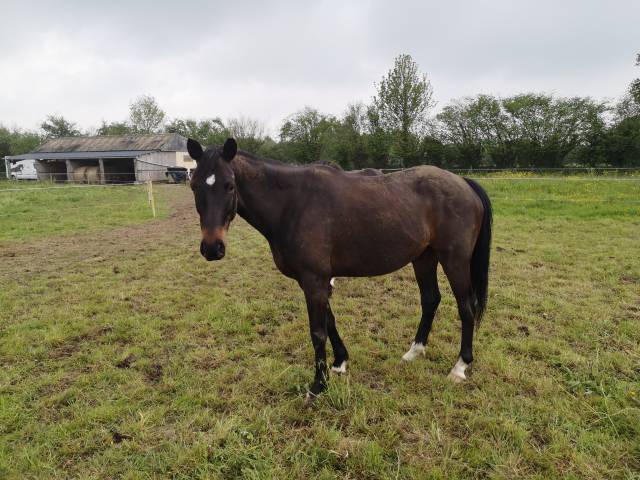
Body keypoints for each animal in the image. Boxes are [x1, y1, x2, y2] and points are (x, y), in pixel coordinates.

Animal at [188, 138, 492, 398]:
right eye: (194, 187)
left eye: (229, 185)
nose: (212, 248)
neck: (292, 203)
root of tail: (462, 182)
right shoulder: (315, 280)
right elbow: (329, 321)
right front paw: (340, 363)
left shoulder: (314, 280)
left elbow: (317, 332)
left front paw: (318, 385)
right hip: (424, 258)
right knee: (430, 300)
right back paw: (414, 352)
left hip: (454, 261)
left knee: (466, 307)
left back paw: (460, 367)